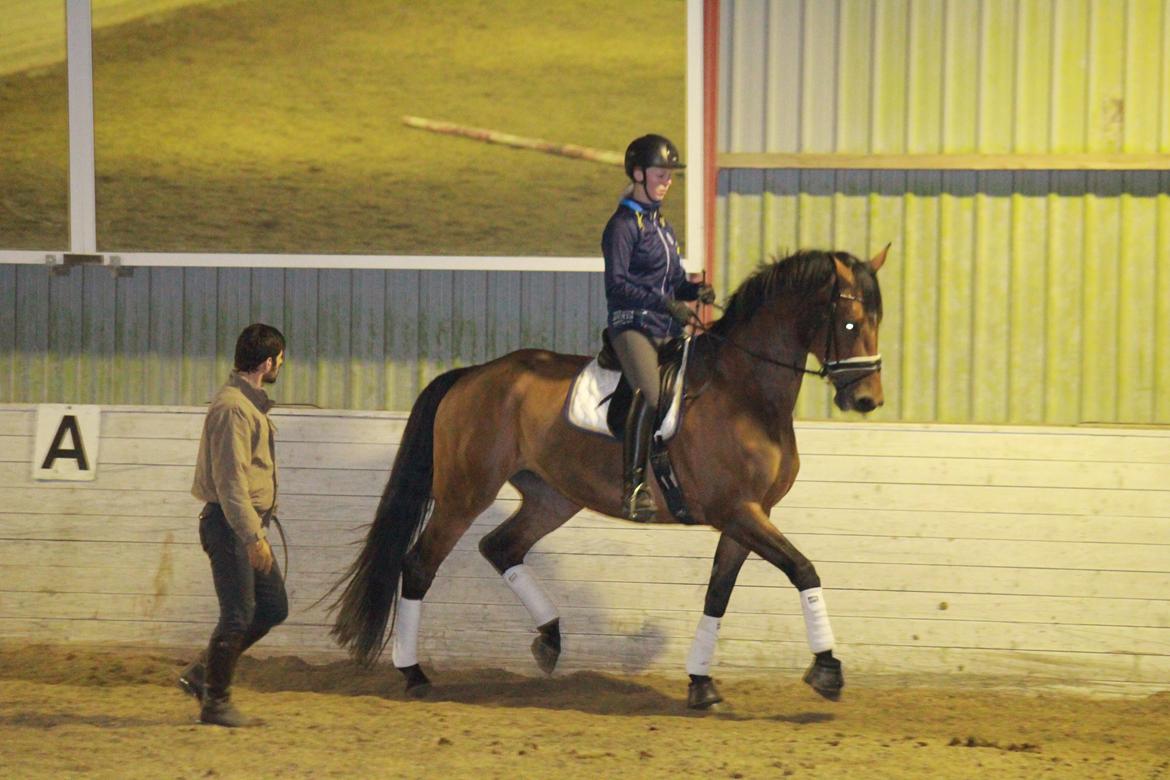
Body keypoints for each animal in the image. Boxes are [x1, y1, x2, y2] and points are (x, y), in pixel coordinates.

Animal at [329, 246, 884, 711]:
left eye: (878, 321)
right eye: (850, 322)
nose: (867, 400)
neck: (743, 391)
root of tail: (472, 374)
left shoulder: (747, 516)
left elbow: (717, 594)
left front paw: (701, 684)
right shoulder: (736, 511)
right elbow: (803, 569)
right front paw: (827, 669)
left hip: (552, 496)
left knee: (502, 546)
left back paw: (550, 639)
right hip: (464, 494)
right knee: (420, 565)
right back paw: (415, 673)